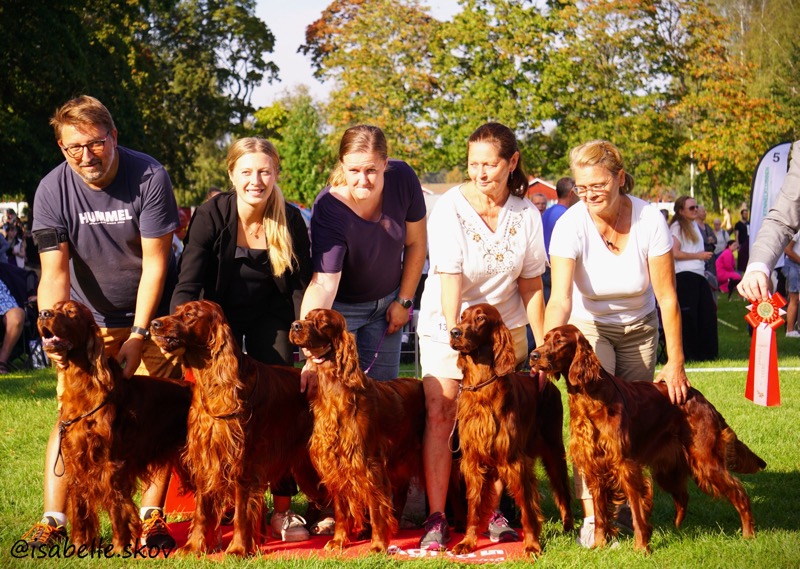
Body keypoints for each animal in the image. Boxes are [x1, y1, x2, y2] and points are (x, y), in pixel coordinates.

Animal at [39, 300, 192, 552]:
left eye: (71, 312)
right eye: (53, 306)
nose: (43, 313)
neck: (84, 386)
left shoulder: (111, 464)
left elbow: (117, 508)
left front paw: (120, 548)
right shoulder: (76, 461)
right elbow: (80, 508)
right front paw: (79, 546)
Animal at [150, 300, 324, 556]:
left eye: (190, 314)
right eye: (177, 310)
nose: (154, 323)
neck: (214, 381)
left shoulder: (244, 460)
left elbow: (242, 510)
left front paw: (239, 549)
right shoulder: (206, 455)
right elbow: (202, 510)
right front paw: (194, 546)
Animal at [288, 308, 424, 552]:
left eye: (323, 322)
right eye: (307, 316)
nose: (295, 325)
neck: (335, 391)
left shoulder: (369, 463)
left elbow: (376, 507)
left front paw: (378, 544)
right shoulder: (335, 462)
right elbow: (342, 511)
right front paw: (339, 540)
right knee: (400, 494)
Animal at [446, 304, 572, 556]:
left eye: (481, 318)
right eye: (462, 316)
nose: (455, 332)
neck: (481, 388)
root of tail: (548, 384)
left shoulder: (514, 461)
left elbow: (527, 507)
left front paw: (532, 544)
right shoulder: (472, 461)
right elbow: (473, 507)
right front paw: (467, 541)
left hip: (554, 451)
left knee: (563, 489)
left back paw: (569, 528)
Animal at [536, 326, 764, 552]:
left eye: (560, 341)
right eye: (545, 339)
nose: (533, 356)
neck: (590, 397)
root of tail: (701, 399)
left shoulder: (625, 465)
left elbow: (637, 510)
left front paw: (641, 547)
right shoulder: (594, 466)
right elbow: (600, 513)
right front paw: (600, 545)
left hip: (706, 461)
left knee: (740, 493)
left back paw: (748, 535)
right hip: (668, 469)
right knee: (683, 496)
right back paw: (678, 528)